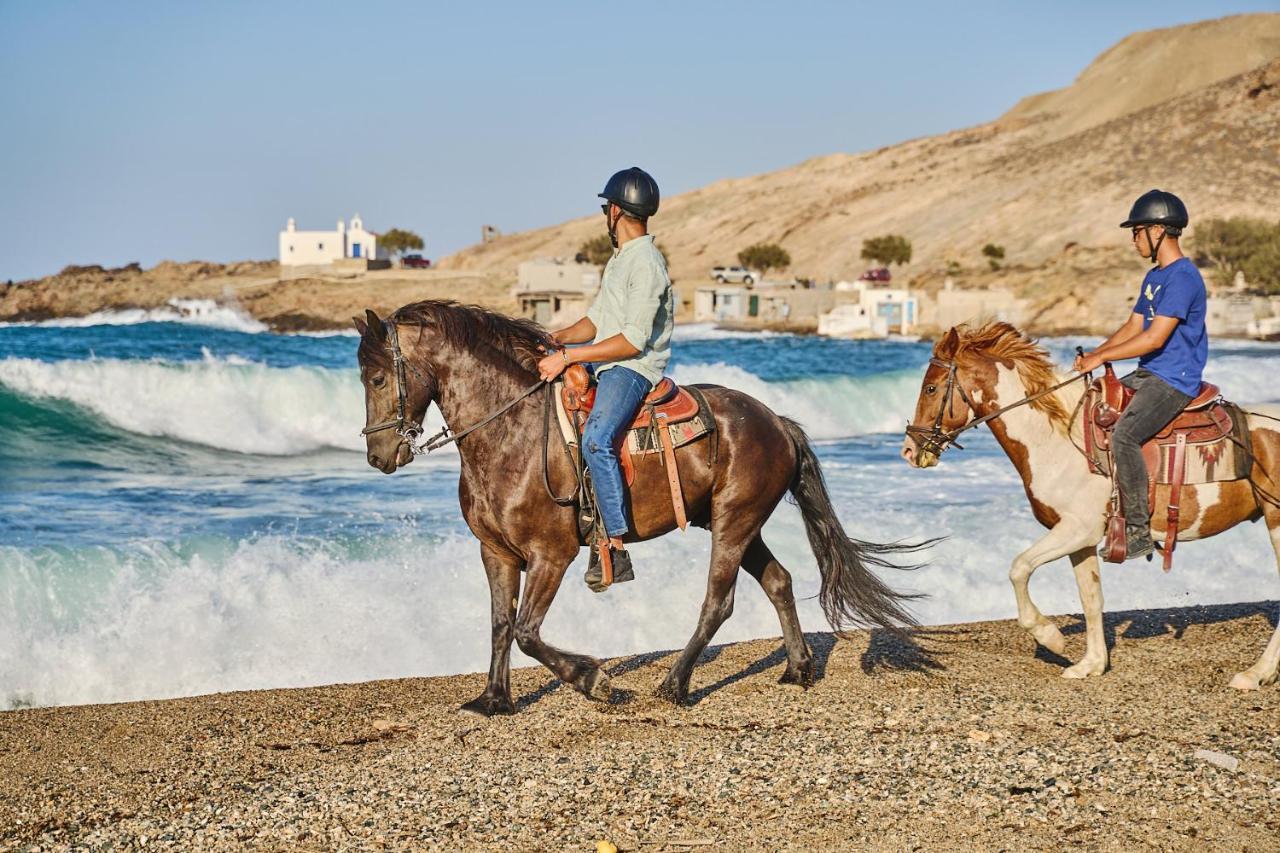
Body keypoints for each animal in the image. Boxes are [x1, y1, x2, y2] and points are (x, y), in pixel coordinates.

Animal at [355, 298, 926, 712]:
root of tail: (777, 421)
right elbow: (500, 625)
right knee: (779, 582)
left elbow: (526, 632)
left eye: (378, 378)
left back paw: (675, 685)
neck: (510, 433)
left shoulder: (551, 554)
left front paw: (594, 680)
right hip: (736, 522)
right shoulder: (496, 553)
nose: (378, 456)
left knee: (718, 603)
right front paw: (494, 699)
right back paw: (798, 668)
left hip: (734, 523)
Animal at [901, 322, 1280, 686]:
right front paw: (1091, 664)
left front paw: (1050, 637)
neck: (1059, 439)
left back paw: (1255, 673)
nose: (909, 450)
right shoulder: (1080, 539)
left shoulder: (1075, 530)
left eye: (931, 388)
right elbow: (1091, 598)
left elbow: (1019, 568)